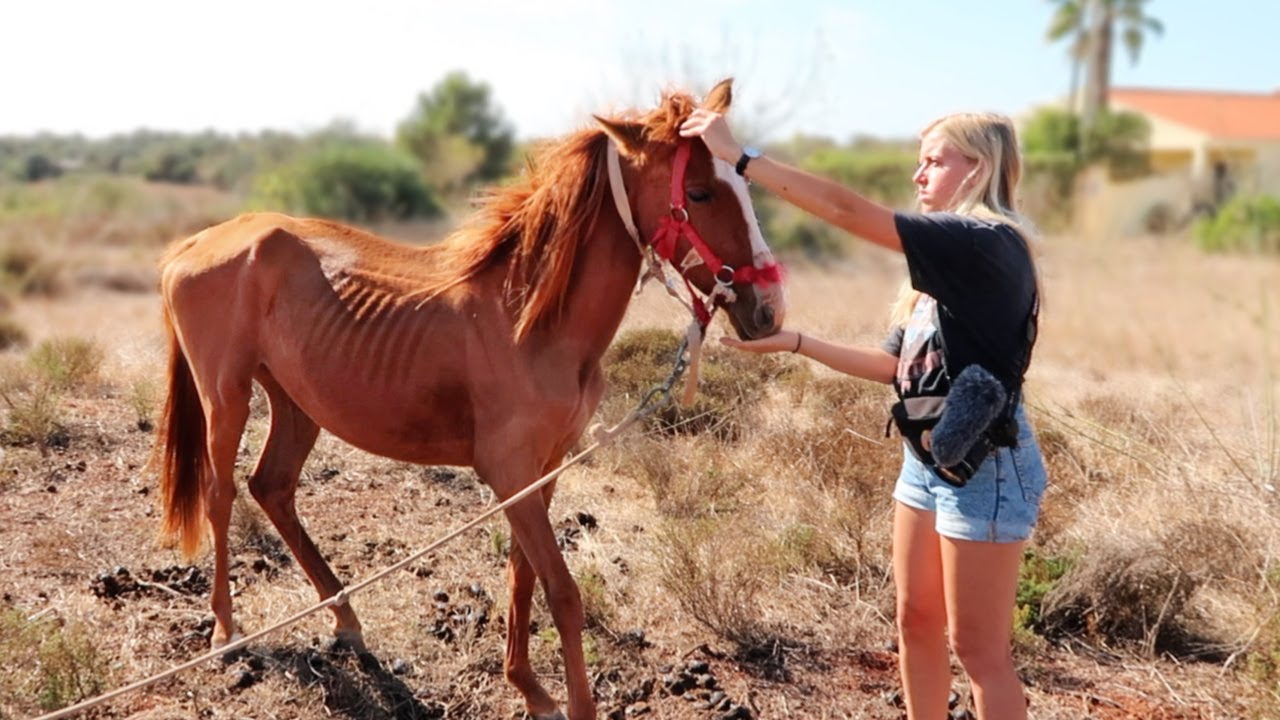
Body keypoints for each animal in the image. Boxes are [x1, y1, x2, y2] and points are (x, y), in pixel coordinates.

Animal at [154, 78, 784, 720]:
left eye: (743, 183)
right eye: (700, 192)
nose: (767, 310)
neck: (528, 319)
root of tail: (196, 243)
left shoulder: (543, 469)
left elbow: (522, 577)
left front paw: (529, 688)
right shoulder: (510, 473)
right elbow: (563, 593)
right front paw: (569, 702)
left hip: (297, 405)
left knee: (273, 488)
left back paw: (346, 621)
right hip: (226, 396)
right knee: (222, 494)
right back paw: (226, 632)